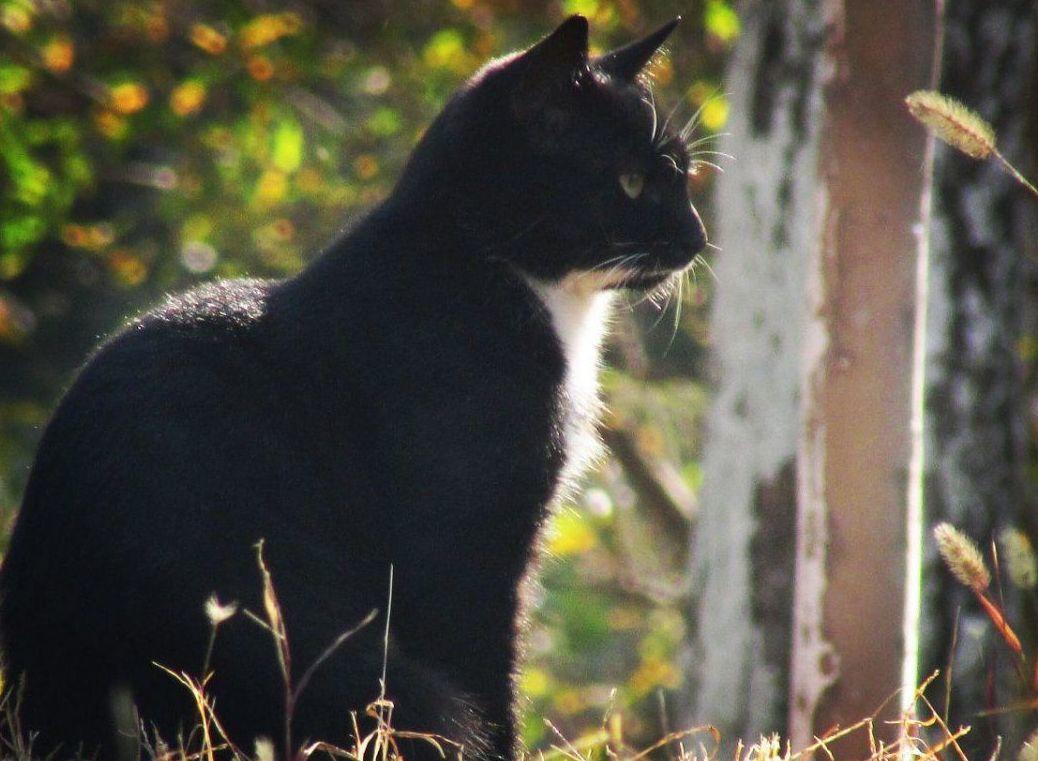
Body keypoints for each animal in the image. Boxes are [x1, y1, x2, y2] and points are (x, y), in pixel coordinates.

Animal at [0, 14, 705, 755]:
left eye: (685, 175)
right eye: (630, 181)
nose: (697, 236)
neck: (489, 267)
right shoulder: (464, 546)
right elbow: (488, 672)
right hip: (365, 672)